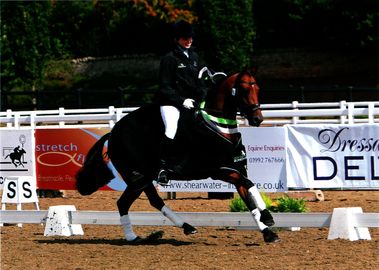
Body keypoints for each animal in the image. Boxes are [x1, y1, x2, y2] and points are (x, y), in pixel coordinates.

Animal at [76, 69, 280, 243]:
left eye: (257, 89)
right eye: (244, 89)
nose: (257, 119)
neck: (219, 126)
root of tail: (113, 133)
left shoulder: (236, 169)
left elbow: (249, 192)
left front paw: (268, 230)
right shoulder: (218, 170)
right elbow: (248, 185)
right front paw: (268, 218)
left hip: (141, 178)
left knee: (140, 202)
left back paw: (176, 229)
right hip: (137, 177)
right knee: (128, 203)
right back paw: (138, 236)